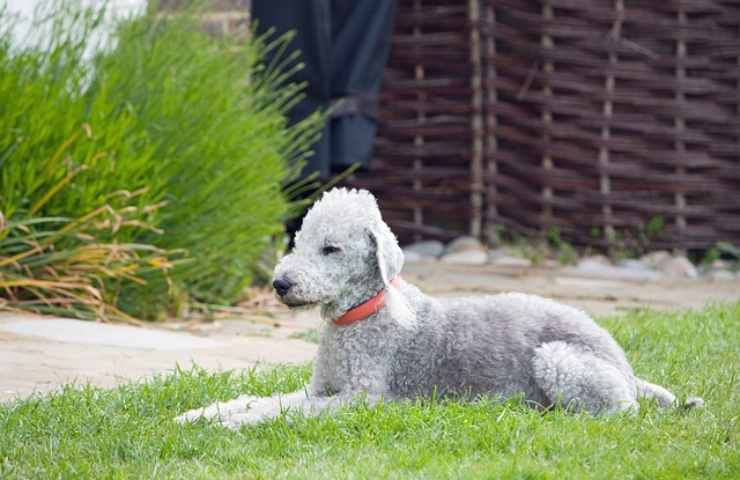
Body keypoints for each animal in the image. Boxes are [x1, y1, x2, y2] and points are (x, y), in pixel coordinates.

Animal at [176, 187, 704, 428]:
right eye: (298, 241)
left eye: (331, 249)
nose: (280, 283)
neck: (359, 317)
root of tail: (624, 363)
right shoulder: (320, 388)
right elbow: (265, 399)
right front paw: (200, 414)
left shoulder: (362, 399)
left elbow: (283, 411)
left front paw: (231, 424)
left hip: (560, 360)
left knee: (618, 412)